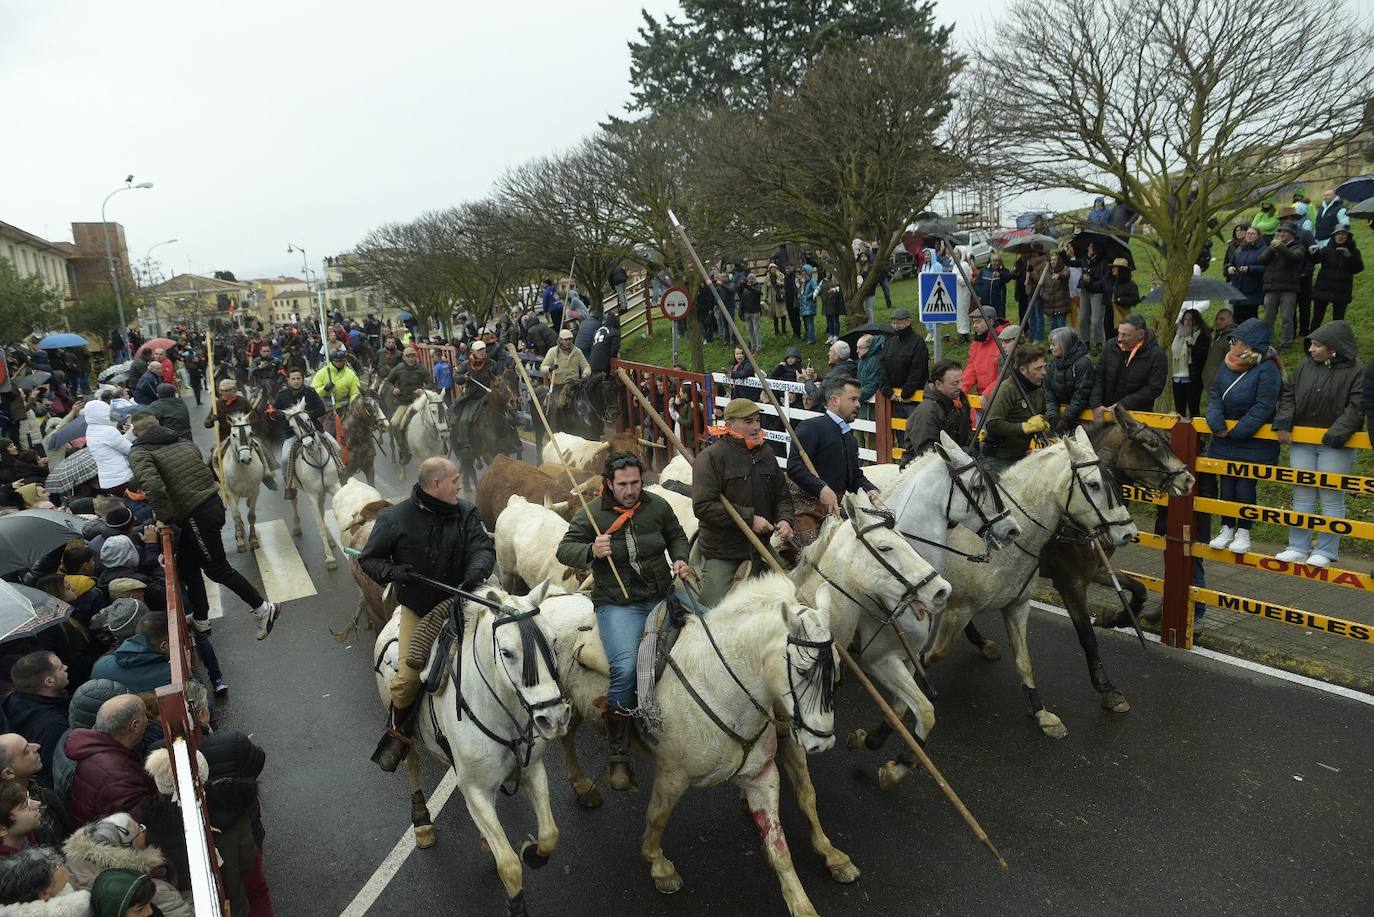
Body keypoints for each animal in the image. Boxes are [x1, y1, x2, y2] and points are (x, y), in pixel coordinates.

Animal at [219, 415, 270, 552]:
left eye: (250, 433)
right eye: (233, 434)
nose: (246, 459)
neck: (242, 469)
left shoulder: (254, 491)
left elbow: (251, 515)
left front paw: (253, 540)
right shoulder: (230, 493)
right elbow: (236, 515)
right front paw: (240, 542)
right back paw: (239, 532)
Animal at [280, 401, 342, 566]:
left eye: (308, 419)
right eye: (292, 426)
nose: (309, 444)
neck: (317, 461)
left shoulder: (334, 486)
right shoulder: (311, 496)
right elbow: (319, 524)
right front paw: (329, 558)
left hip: (322, 492)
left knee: (321, 511)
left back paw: (331, 540)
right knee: (294, 502)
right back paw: (297, 528)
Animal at [370, 585, 568, 912]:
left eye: (552, 641)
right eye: (506, 652)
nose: (553, 719)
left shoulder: (533, 771)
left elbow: (550, 833)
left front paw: (531, 850)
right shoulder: (476, 790)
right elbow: (509, 865)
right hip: (403, 728)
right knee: (412, 766)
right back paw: (422, 821)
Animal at [541, 577, 840, 912]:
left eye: (838, 667)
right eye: (802, 670)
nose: (822, 742)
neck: (719, 685)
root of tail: (549, 600)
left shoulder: (761, 775)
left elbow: (780, 847)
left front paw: (806, 899)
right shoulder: (672, 776)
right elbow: (657, 818)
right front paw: (661, 868)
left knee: (568, 735)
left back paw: (583, 788)